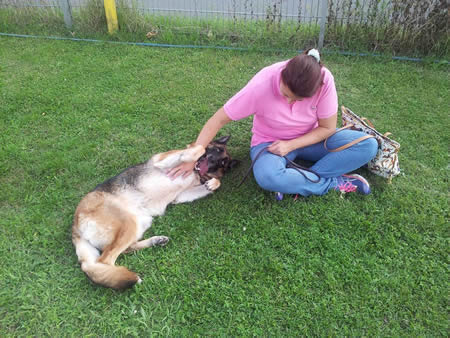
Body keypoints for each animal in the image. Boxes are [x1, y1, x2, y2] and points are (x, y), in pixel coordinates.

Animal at [71, 136, 237, 290]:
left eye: (222, 163)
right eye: (215, 150)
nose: (211, 160)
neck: (196, 174)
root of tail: (75, 227)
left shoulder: (180, 196)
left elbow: (214, 182)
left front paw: (214, 183)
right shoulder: (162, 160)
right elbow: (198, 148)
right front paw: (197, 151)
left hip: (139, 223)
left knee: (123, 250)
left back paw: (156, 241)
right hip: (129, 223)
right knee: (105, 259)